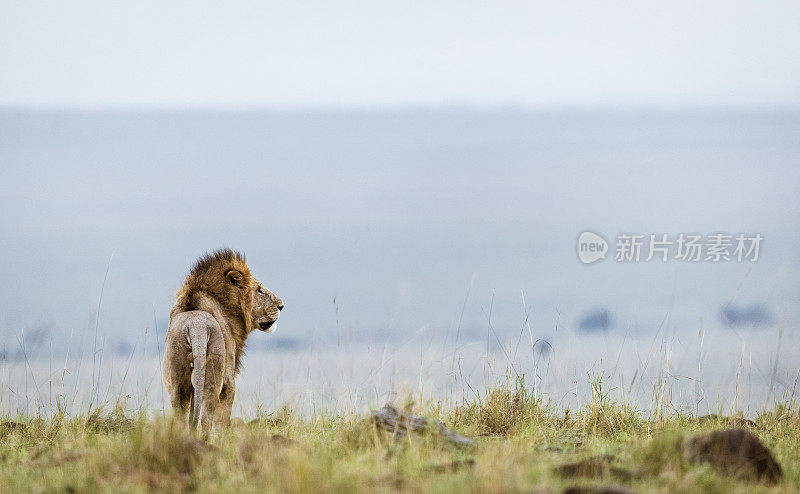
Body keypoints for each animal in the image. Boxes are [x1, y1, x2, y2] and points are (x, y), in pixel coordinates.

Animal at [161, 251, 282, 436]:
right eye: (259, 290)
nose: (281, 305)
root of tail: (196, 327)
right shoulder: (229, 380)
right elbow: (222, 419)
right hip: (213, 376)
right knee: (205, 418)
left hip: (177, 378)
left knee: (181, 418)